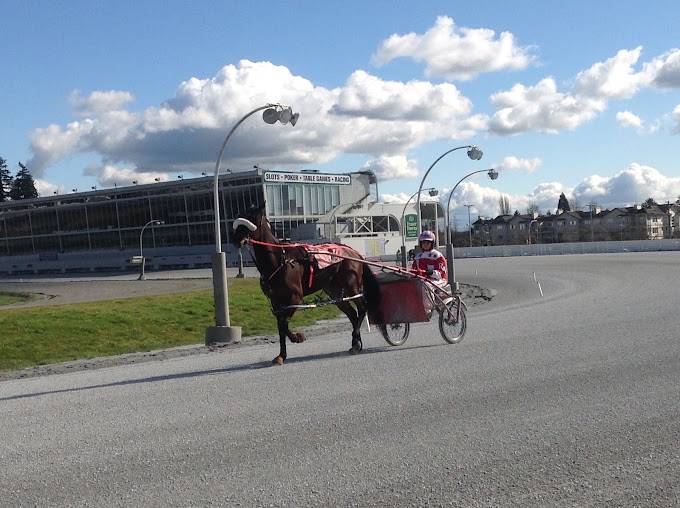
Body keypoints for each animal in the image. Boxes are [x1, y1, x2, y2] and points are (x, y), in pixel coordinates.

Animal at [231, 206, 380, 366]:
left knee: (362, 308)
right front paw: (281, 355)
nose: (235, 238)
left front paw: (297, 337)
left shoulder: (295, 297)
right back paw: (356, 344)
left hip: (351, 286)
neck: (281, 260)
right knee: (352, 314)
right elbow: (280, 326)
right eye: (242, 217)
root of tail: (355, 253)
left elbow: (284, 323)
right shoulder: (276, 301)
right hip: (334, 291)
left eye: (253, 219)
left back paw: (356, 338)